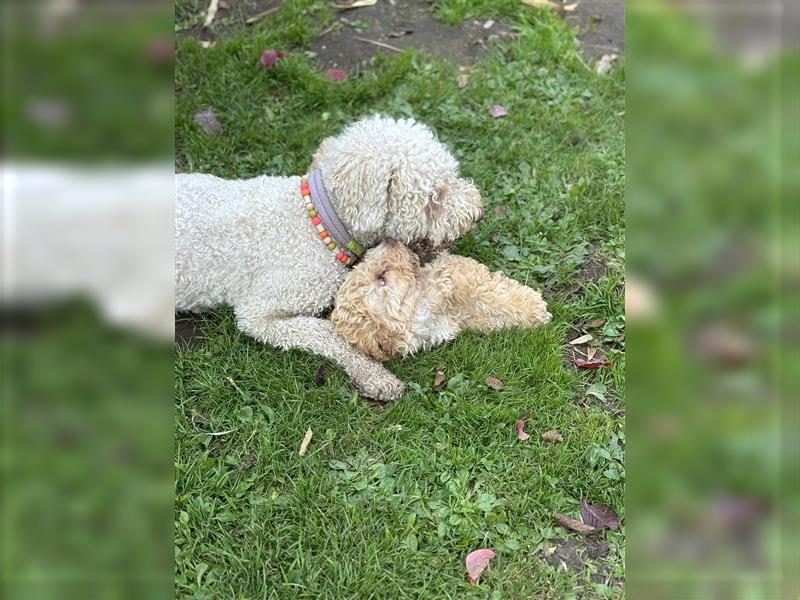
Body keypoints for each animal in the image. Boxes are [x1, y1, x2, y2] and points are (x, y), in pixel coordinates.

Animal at [177, 115, 482, 400]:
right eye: (435, 195)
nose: (478, 213)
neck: (318, 220)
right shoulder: (257, 313)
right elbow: (328, 333)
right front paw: (373, 375)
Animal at [330, 239, 552, 360]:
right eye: (381, 278)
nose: (389, 239)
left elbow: (492, 294)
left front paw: (533, 308)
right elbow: (490, 303)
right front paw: (532, 311)